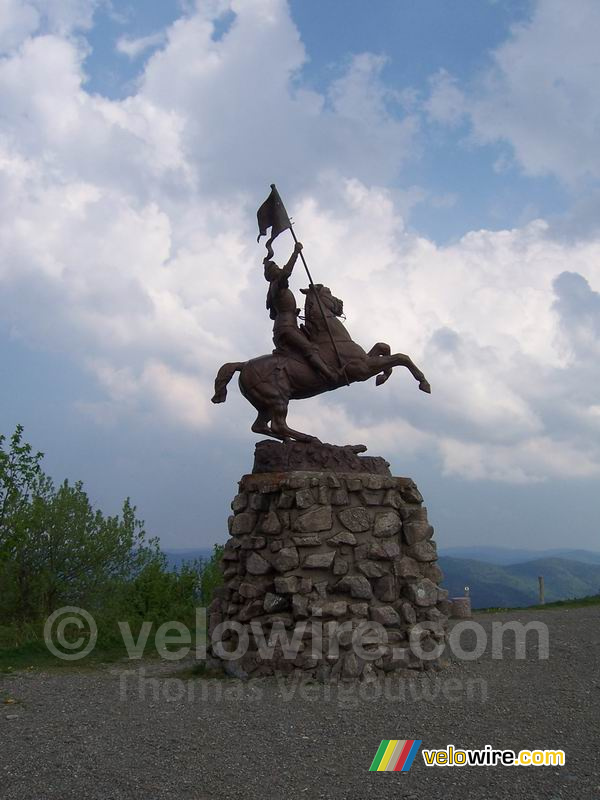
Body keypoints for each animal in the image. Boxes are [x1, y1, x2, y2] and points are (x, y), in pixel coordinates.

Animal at [212, 282, 432, 444]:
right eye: (328, 292)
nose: (341, 303)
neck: (331, 336)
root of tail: (243, 365)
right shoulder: (360, 369)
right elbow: (400, 357)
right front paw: (424, 383)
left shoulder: (365, 360)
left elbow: (384, 347)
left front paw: (383, 377)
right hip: (277, 399)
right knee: (277, 424)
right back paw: (309, 439)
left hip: (264, 404)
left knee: (260, 426)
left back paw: (291, 441)